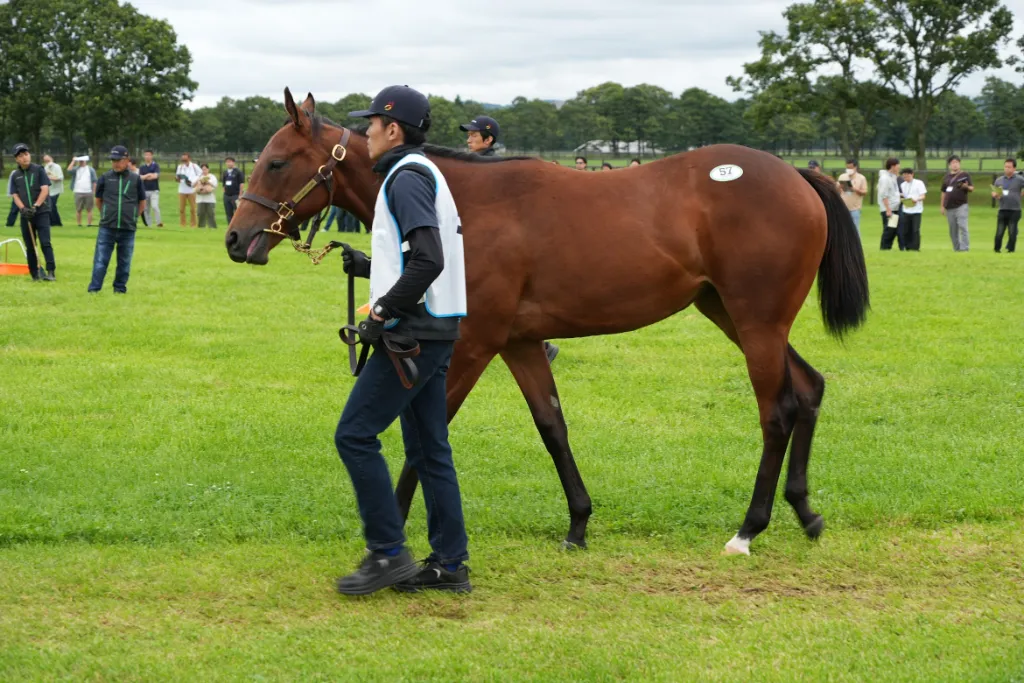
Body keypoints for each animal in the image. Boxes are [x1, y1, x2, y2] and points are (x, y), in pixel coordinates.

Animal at [225, 89, 869, 555]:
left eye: (276, 162)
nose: (236, 239)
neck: (462, 205)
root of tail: (797, 176)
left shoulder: (474, 344)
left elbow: (424, 436)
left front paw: (396, 528)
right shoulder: (520, 342)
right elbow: (552, 427)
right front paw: (578, 524)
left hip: (756, 322)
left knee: (777, 412)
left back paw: (749, 528)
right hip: (735, 315)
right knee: (808, 390)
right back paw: (805, 512)